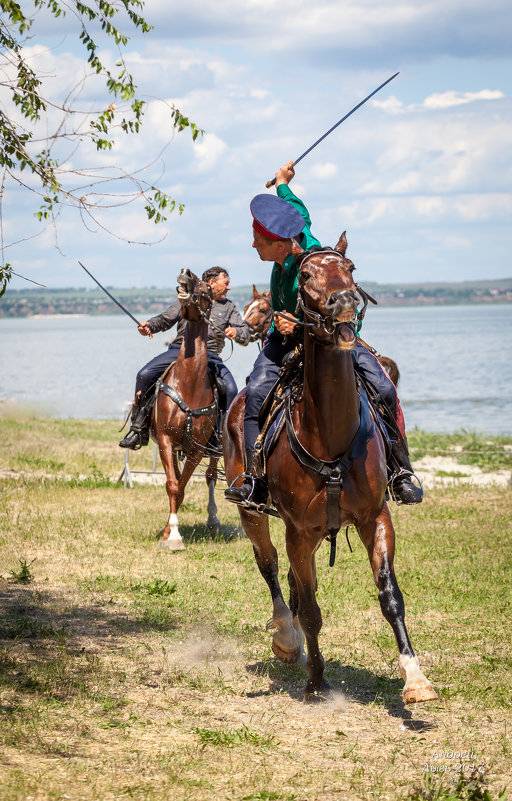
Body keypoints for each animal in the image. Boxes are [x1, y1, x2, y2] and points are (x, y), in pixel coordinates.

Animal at [224, 234, 436, 704]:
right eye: (305, 275)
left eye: (350, 268)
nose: (344, 301)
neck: (330, 434)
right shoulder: (298, 530)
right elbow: (311, 609)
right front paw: (316, 681)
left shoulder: (374, 517)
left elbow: (390, 596)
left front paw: (415, 679)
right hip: (254, 513)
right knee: (272, 570)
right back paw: (286, 639)